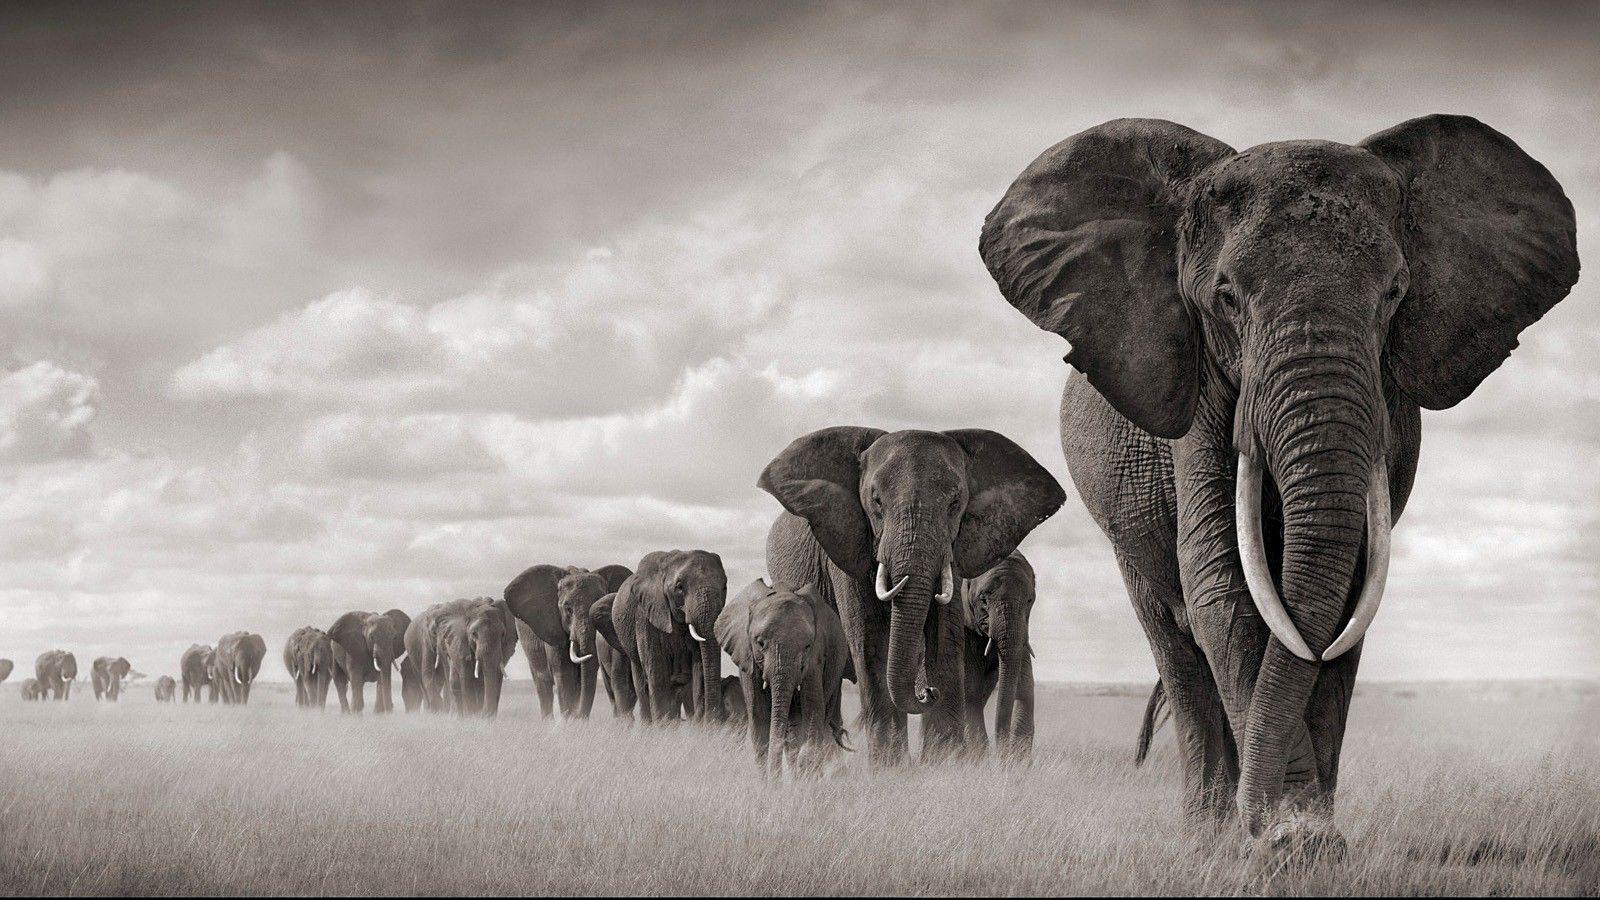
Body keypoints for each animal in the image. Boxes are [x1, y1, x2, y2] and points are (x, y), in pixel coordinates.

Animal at [504, 563, 632, 719]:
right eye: (568, 609)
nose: (579, 717)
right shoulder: (553, 628)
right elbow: (564, 677)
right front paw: (568, 721)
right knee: (542, 685)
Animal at [596, 550, 728, 725]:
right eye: (679, 587)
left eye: (725, 587)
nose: (713, 723)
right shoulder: (646, 615)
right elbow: (657, 669)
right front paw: (663, 728)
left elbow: (699, 667)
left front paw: (697, 727)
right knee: (642, 684)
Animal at [716, 578, 855, 777]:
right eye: (760, 643)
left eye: (807, 646)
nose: (776, 780)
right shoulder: (747, 656)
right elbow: (759, 718)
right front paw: (768, 782)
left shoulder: (815, 657)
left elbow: (812, 712)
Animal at [959, 551, 1038, 758]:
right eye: (983, 600)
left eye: (1030, 600)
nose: (1001, 752)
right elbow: (969, 692)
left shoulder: (1022, 631)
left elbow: (1025, 687)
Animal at [980, 115, 1579, 839]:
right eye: (1226, 297)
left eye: (1395, 294)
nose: (1270, 826)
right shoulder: (1199, 392)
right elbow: (1223, 587)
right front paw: (1287, 840)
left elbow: (1348, 598)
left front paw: (1306, 836)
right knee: (1176, 649)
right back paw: (1207, 832)